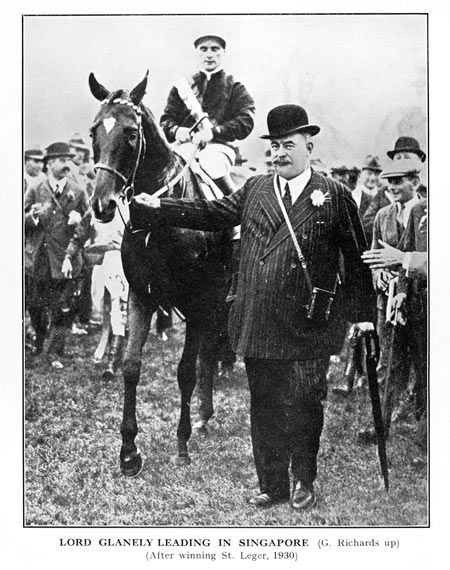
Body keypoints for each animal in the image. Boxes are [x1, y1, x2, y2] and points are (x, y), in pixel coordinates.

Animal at [89, 70, 234, 470]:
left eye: (130, 133)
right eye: (93, 131)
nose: (102, 205)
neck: (163, 214)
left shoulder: (198, 301)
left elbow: (185, 371)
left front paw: (181, 443)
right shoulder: (142, 296)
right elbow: (131, 366)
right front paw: (129, 451)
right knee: (210, 354)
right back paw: (204, 415)